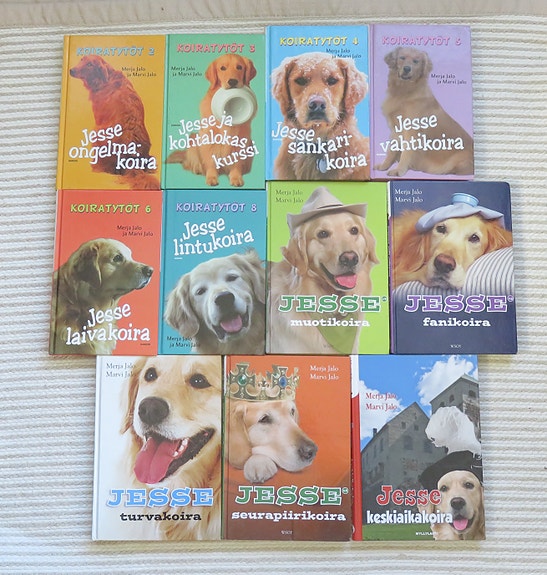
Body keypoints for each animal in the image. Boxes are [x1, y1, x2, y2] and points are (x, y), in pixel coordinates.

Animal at [70, 55, 160, 189]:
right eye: (82, 60)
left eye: (90, 64)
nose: (71, 70)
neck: (106, 80)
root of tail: (132, 160)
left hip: (96, 133)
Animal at [166, 54, 257, 186]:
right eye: (222, 68)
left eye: (239, 67)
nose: (232, 81)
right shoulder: (209, 138)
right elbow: (210, 160)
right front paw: (211, 177)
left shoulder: (240, 139)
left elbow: (236, 162)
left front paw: (236, 177)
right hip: (194, 139)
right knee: (188, 163)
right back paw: (197, 168)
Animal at [375, 46, 474, 177]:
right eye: (402, 58)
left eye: (416, 61)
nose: (407, 68)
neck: (404, 92)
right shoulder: (396, 129)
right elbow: (391, 150)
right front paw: (384, 166)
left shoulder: (411, 130)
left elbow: (406, 152)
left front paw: (399, 170)